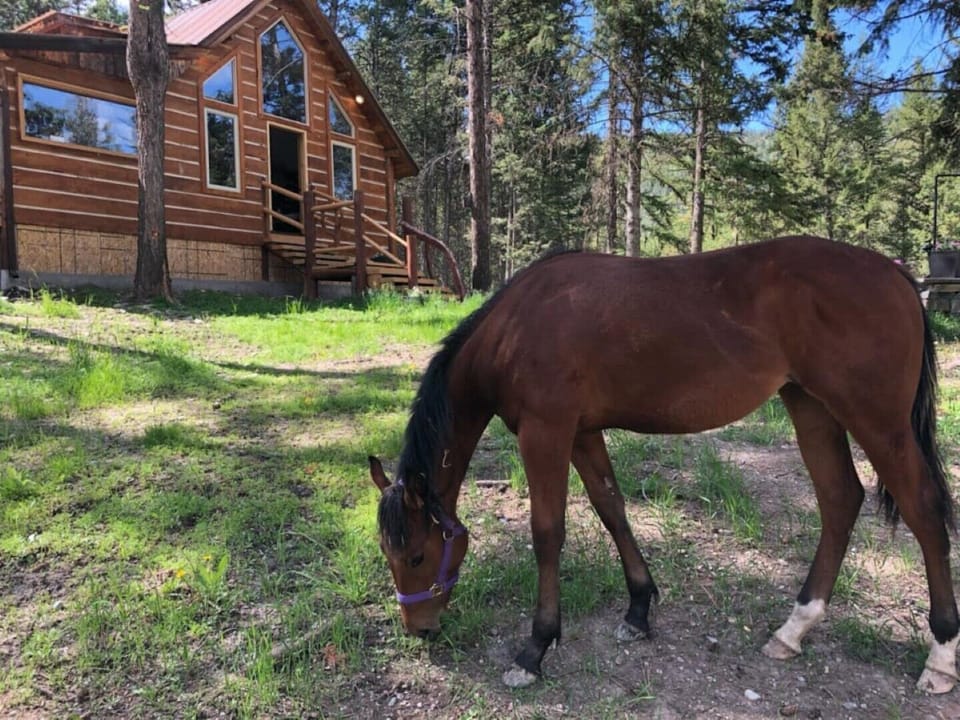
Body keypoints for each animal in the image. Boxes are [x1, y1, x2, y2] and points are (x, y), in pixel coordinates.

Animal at [369, 235, 959, 693]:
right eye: (388, 554)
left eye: (418, 555)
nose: (418, 628)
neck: (517, 327)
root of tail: (897, 274)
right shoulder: (583, 433)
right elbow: (611, 508)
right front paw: (638, 609)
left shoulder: (547, 433)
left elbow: (548, 533)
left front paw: (535, 648)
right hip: (811, 407)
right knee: (840, 500)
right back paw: (794, 629)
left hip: (877, 422)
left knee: (924, 511)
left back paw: (940, 656)